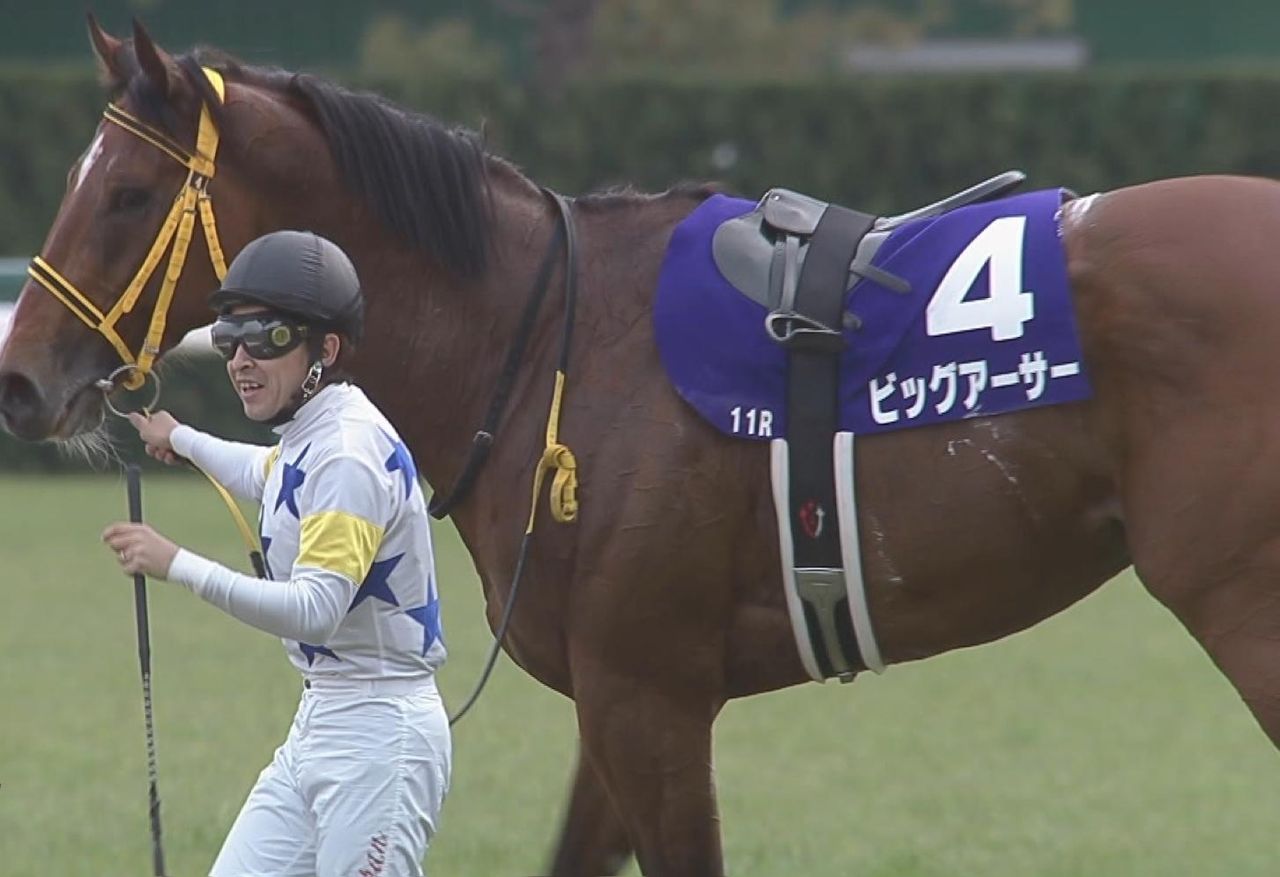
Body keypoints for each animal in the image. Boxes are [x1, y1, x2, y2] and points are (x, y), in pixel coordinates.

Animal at [2, 15, 1280, 875]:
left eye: (124, 195)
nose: (20, 380)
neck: (548, 347)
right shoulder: (615, 701)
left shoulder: (647, 696)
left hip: (1239, 607)